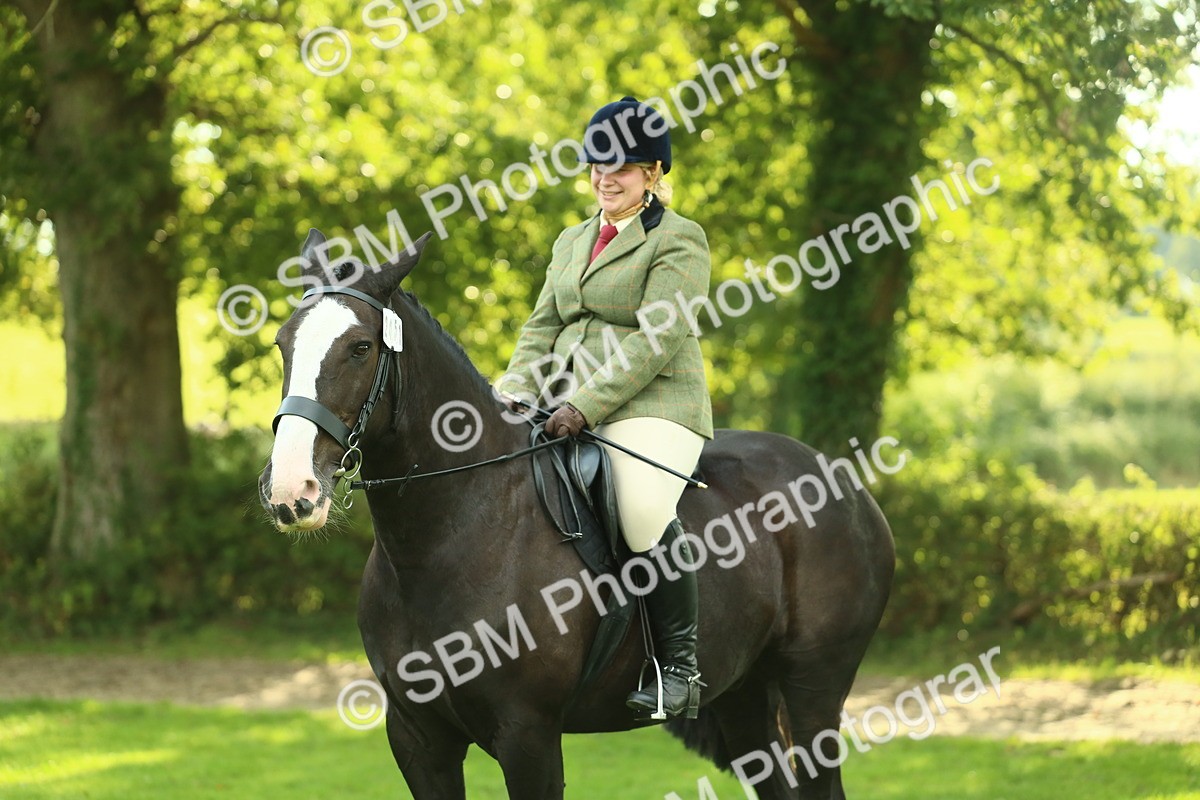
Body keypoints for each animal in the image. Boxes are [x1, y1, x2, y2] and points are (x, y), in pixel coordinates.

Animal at [258, 229, 895, 799]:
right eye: (283, 344)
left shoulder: (528, 736)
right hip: (743, 695)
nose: (291, 490)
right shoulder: (418, 739)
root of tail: (844, 480)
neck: (447, 536)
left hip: (814, 688)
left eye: (360, 348)